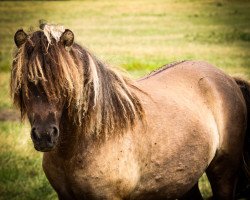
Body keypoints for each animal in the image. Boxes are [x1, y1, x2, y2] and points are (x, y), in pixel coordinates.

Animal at [10, 23, 250, 200]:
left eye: (65, 84)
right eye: (23, 84)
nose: (44, 136)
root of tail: (226, 78)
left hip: (224, 170)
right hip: (185, 179)